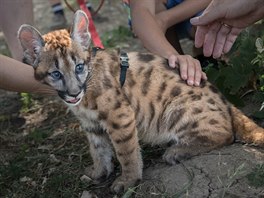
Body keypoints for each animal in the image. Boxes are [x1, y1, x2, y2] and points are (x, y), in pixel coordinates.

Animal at [18, 10, 264, 194]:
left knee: (225, 134)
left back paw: (177, 151)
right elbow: (98, 149)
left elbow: (126, 152)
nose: (73, 93)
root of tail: (225, 99)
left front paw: (128, 181)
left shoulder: (120, 116)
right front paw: (99, 172)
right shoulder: (90, 124)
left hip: (177, 109)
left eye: (79, 67)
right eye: (56, 74)